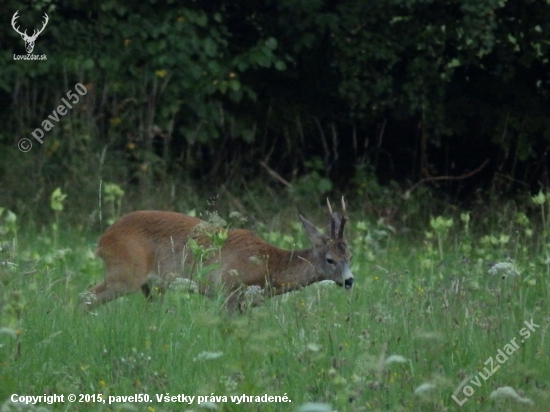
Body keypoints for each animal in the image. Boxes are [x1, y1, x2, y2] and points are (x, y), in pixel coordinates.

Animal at [80, 198, 356, 310]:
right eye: (330, 259)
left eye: (350, 256)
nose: (350, 280)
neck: (269, 266)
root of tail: (103, 239)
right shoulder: (227, 288)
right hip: (125, 272)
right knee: (85, 297)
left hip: (151, 287)